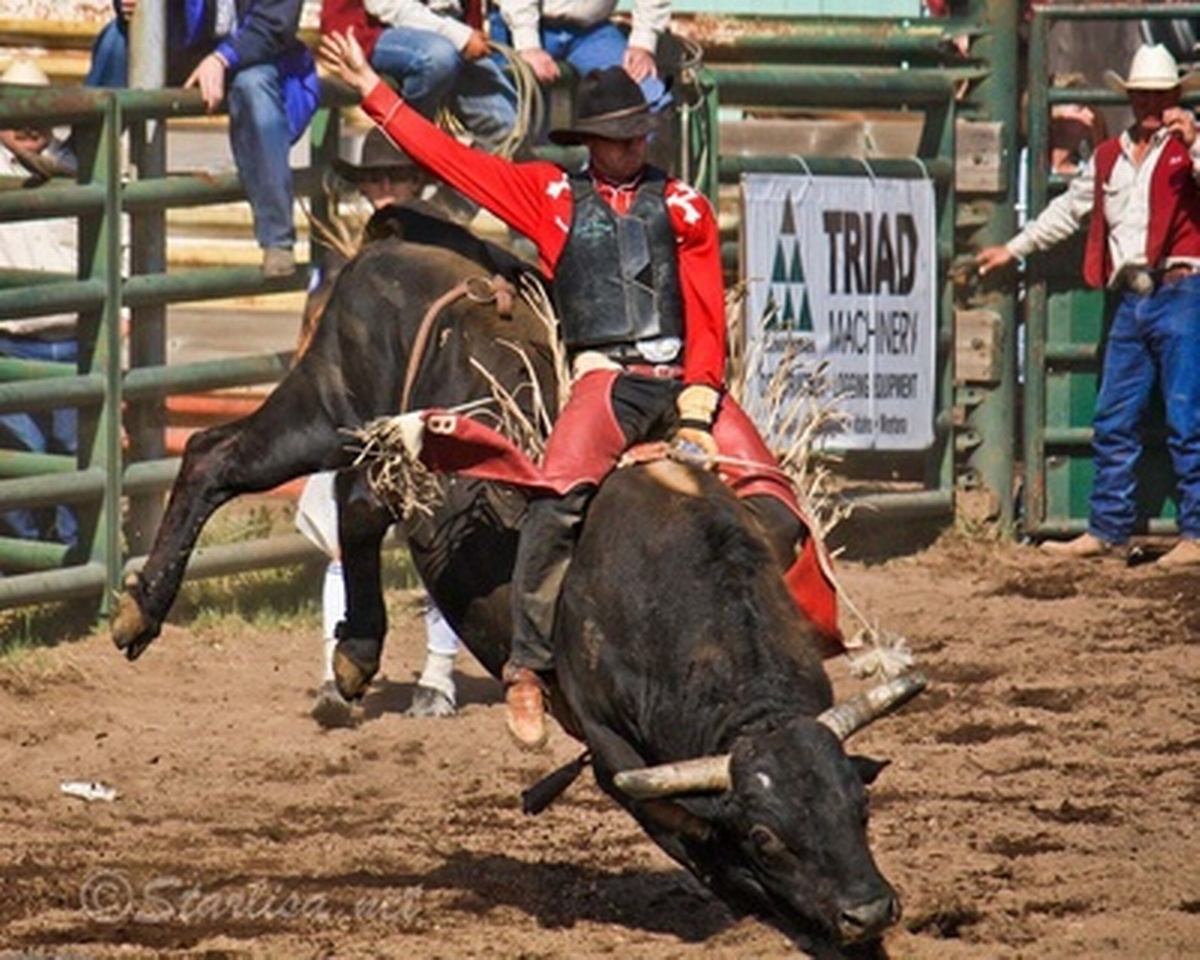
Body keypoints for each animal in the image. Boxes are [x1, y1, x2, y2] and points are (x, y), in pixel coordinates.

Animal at [110, 223, 916, 945]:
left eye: (859, 808)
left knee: (360, 501)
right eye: (767, 835)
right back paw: (141, 612)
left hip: (360, 437)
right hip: (319, 408)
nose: (870, 908)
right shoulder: (619, 757)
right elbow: (705, 850)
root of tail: (387, 248)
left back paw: (356, 651)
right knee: (216, 458)